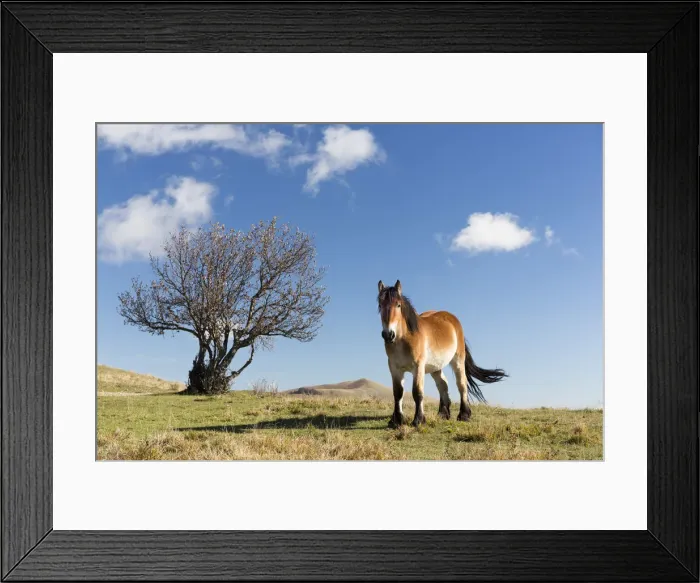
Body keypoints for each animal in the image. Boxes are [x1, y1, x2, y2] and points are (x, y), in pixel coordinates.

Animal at [377, 279, 507, 427]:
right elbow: (398, 393)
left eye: (398, 305)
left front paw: (418, 420)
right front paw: (396, 421)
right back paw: (443, 413)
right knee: (443, 384)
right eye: (380, 305)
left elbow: (417, 392)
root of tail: (452, 318)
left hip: (458, 361)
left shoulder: (418, 367)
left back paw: (464, 415)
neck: (404, 339)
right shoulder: (395, 368)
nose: (388, 334)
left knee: (461, 384)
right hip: (435, 366)